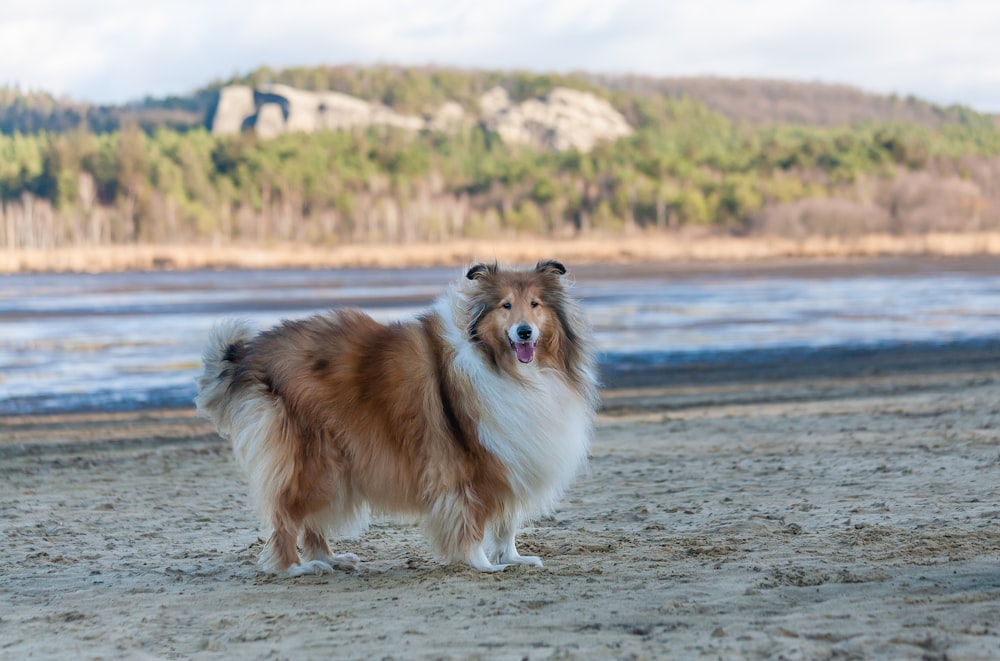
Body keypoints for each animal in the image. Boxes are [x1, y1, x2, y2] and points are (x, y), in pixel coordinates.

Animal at [199, 260, 596, 576]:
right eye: (506, 306)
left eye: (535, 304)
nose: (524, 332)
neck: (505, 367)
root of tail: (250, 353)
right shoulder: (467, 462)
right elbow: (471, 519)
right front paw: (483, 564)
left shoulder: (513, 456)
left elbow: (506, 522)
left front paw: (513, 558)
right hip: (311, 459)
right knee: (285, 515)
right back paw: (296, 568)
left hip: (331, 466)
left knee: (310, 520)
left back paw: (330, 559)